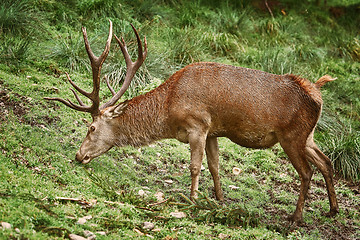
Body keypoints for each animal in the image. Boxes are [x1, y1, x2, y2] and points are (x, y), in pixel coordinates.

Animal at [44, 20, 338, 223]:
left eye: (91, 127)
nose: (79, 155)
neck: (168, 109)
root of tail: (317, 92)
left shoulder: (198, 125)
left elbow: (196, 167)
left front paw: (193, 199)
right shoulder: (213, 131)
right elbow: (215, 166)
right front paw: (219, 199)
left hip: (292, 136)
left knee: (307, 172)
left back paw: (296, 218)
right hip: (308, 136)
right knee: (326, 161)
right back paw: (333, 210)